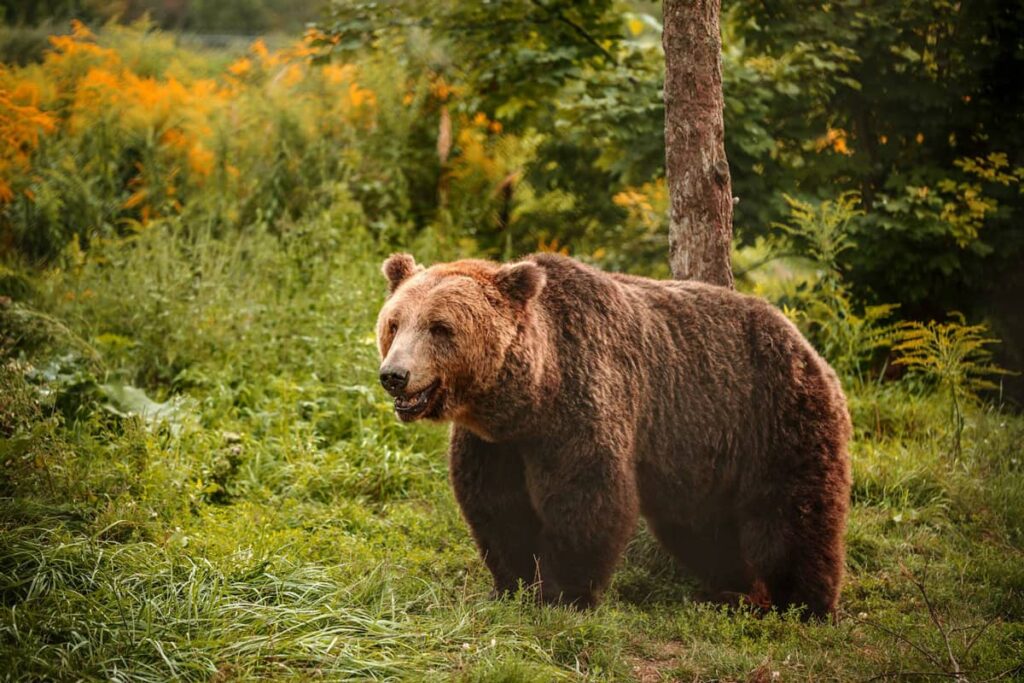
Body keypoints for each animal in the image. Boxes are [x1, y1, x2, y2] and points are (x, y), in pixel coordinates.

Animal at [375, 252, 852, 617]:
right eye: (395, 323)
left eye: (440, 327)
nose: (395, 375)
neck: (530, 397)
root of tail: (807, 344)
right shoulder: (496, 444)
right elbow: (498, 508)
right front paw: (513, 585)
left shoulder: (580, 406)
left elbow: (586, 499)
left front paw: (564, 595)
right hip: (701, 453)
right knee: (703, 529)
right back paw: (734, 589)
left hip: (773, 417)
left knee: (792, 517)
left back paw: (804, 604)